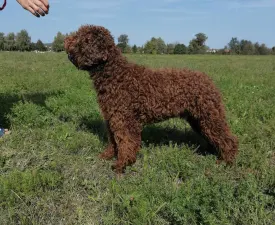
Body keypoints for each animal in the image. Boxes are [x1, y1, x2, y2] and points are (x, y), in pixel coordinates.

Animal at [64, 24, 239, 173]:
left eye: (82, 39)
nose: (66, 41)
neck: (115, 74)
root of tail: (208, 81)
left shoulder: (124, 120)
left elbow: (126, 142)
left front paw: (122, 164)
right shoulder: (111, 118)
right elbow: (113, 141)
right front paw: (107, 156)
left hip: (209, 115)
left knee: (228, 139)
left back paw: (226, 161)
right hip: (197, 118)